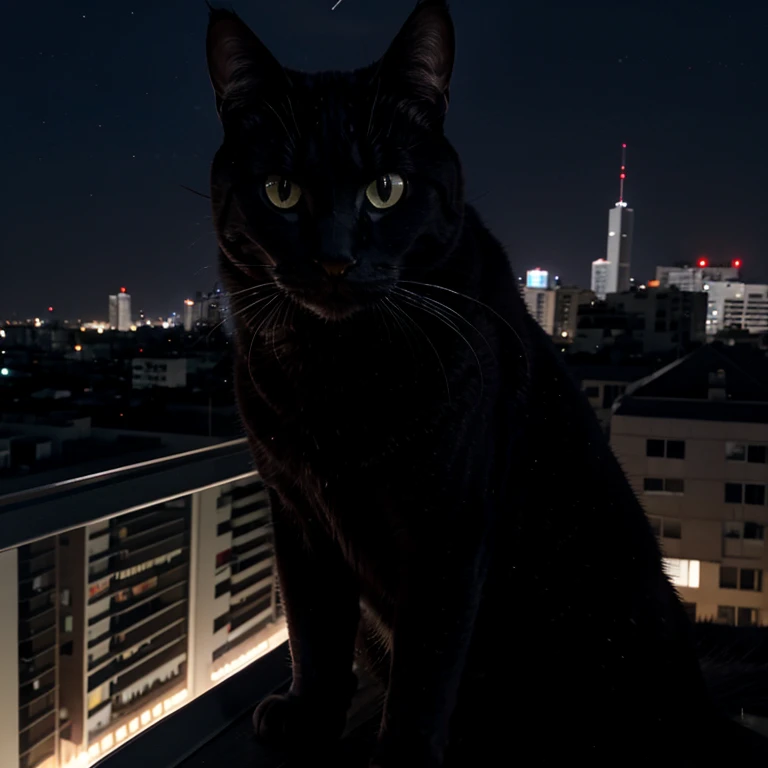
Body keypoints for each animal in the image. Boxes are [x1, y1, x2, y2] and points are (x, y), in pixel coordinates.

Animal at [207, 3, 768, 764]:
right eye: (282, 192)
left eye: (386, 190)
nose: (335, 259)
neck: (334, 370)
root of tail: (702, 710)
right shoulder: (295, 510)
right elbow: (314, 627)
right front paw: (310, 713)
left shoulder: (449, 521)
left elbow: (425, 668)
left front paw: (400, 754)